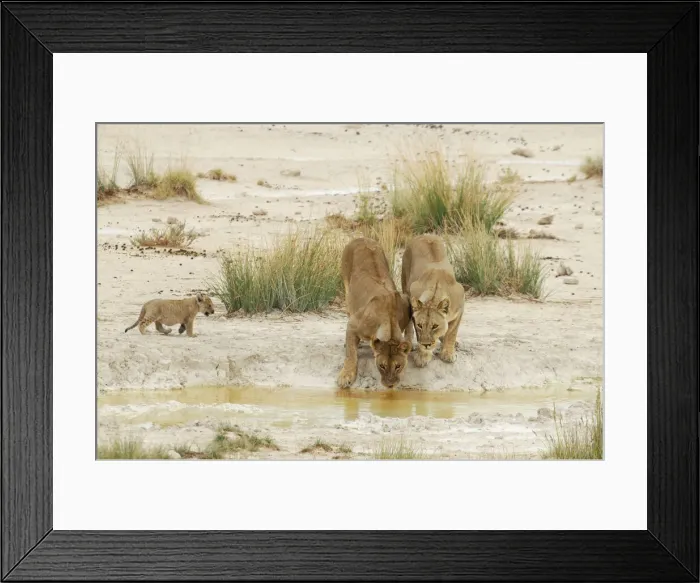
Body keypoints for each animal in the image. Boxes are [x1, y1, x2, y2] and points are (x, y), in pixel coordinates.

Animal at [337, 237, 412, 389]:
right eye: (382, 366)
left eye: (398, 366)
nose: (390, 385)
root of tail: (361, 238)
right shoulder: (353, 324)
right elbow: (350, 354)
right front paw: (345, 376)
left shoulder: (406, 304)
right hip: (347, 289)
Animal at [401, 234, 465, 367]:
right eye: (420, 325)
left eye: (435, 326)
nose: (426, 345)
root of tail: (424, 234)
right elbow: (418, 333)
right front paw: (422, 356)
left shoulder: (460, 305)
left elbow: (452, 333)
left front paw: (448, 353)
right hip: (405, 282)